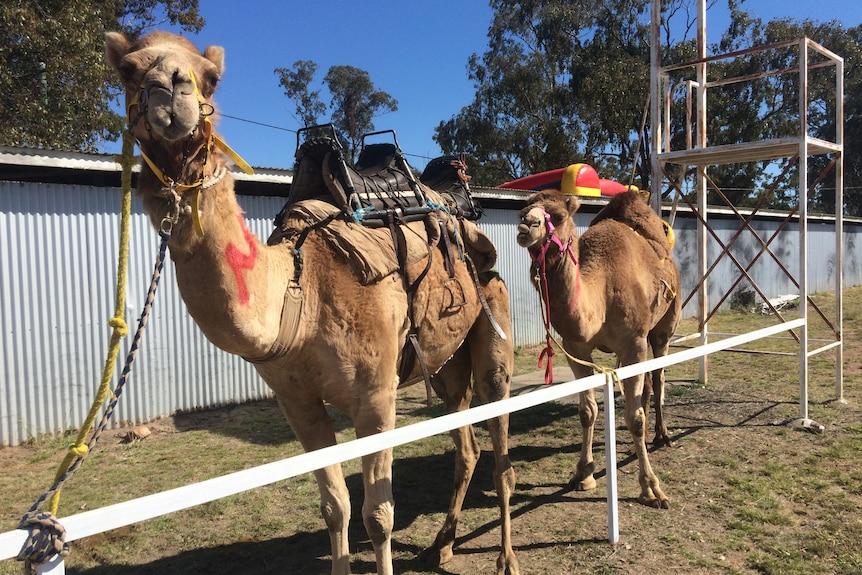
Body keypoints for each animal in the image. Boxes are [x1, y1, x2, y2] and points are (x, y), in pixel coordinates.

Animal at [101, 31, 520, 575]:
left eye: (209, 77)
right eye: (128, 71)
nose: (168, 91)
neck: (299, 293)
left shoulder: (376, 397)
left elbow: (378, 514)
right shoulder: (296, 402)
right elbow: (335, 505)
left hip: (493, 331)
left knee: (500, 447)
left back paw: (506, 558)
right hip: (446, 362)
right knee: (465, 446)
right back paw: (442, 544)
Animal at [516, 189, 684, 508]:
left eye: (558, 216)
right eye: (522, 211)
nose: (525, 226)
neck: (601, 292)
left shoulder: (633, 342)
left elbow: (634, 418)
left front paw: (652, 489)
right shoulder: (576, 347)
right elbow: (588, 411)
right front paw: (583, 474)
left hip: (663, 326)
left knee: (658, 377)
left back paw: (662, 435)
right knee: (645, 387)